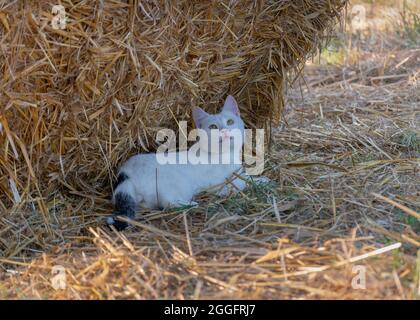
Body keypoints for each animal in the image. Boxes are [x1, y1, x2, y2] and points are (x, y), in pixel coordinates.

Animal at [106, 95, 268, 230]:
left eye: (230, 122)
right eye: (213, 127)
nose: (224, 131)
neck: (226, 156)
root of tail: (125, 172)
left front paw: (259, 179)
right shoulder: (218, 183)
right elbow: (241, 182)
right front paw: (259, 181)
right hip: (177, 183)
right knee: (168, 202)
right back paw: (192, 204)